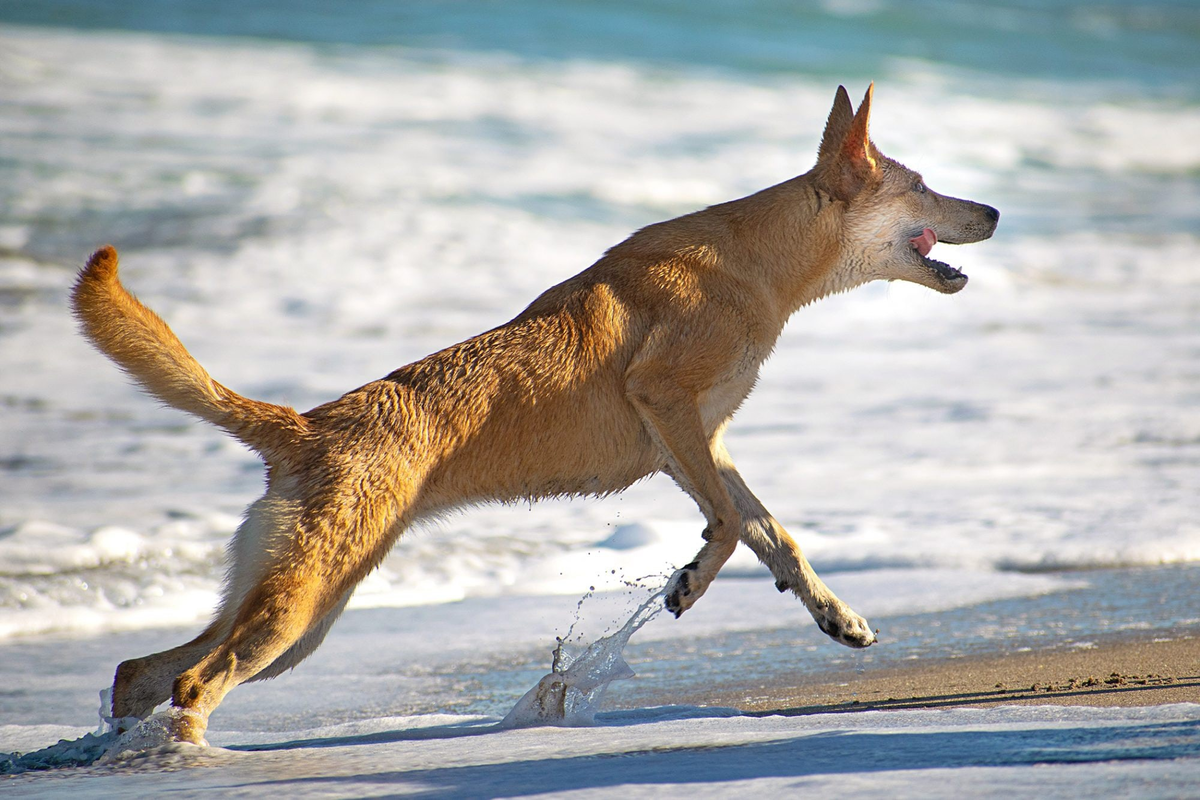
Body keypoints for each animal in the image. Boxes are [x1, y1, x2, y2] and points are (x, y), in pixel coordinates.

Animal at [70, 84, 998, 743]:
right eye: (924, 188)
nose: (995, 211)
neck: (762, 261)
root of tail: (303, 426)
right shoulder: (667, 405)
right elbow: (734, 525)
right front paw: (691, 582)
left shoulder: (698, 439)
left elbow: (771, 530)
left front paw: (833, 614)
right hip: (303, 605)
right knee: (193, 681)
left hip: (296, 614)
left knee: (142, 672)